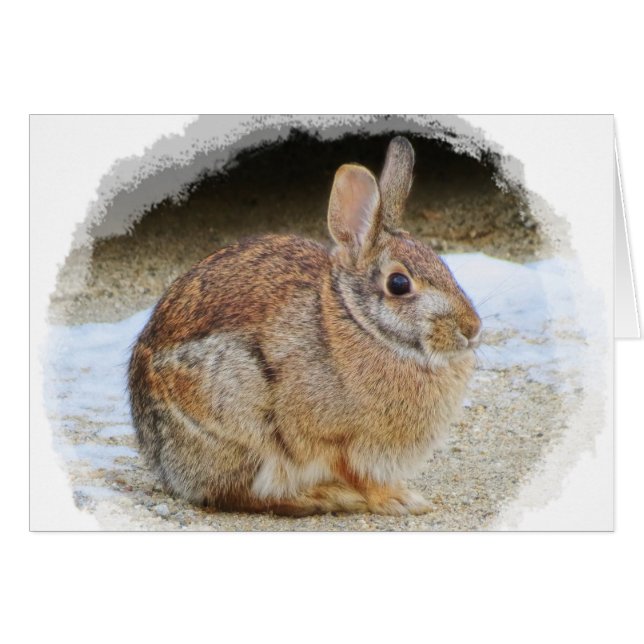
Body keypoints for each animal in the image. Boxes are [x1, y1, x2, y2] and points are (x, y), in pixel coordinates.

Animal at [128, 136, 481, 517]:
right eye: (399, 284)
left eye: (442, 263)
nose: (472, 329)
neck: (359, 322)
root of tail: (162, 463)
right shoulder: (335, 440)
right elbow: (357, 475)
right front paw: (399, 500)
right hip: (240, 429)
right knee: (241, 495)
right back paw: (326, 496)